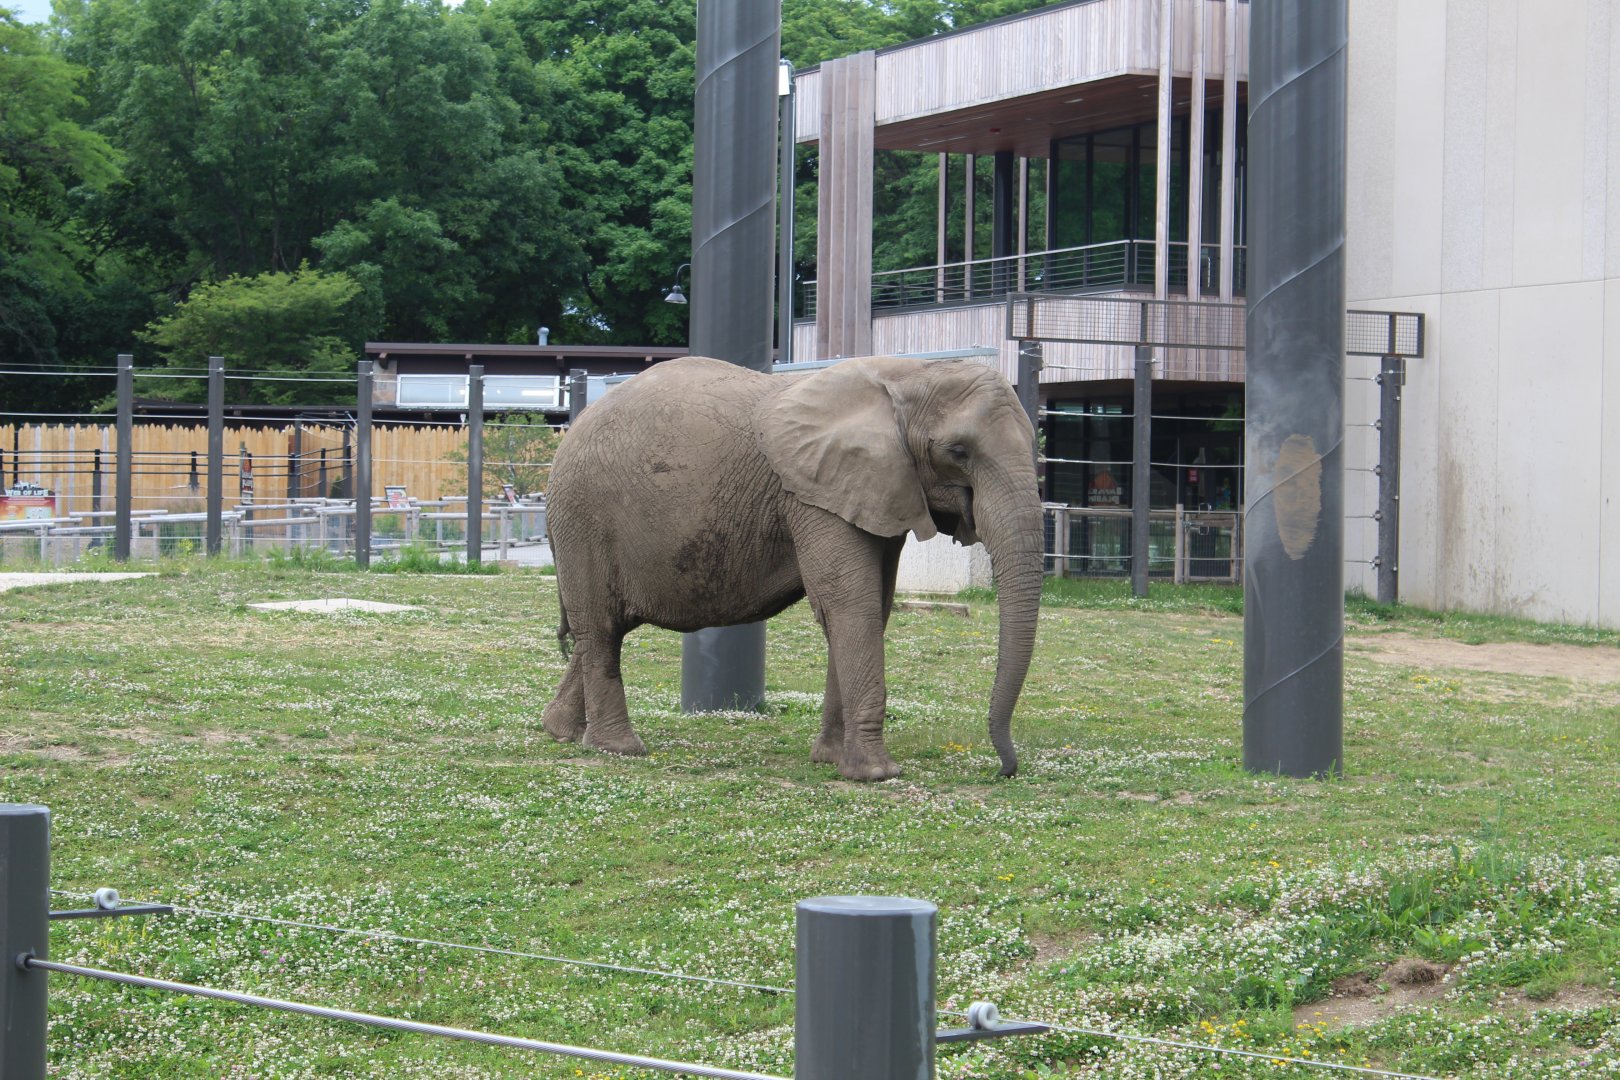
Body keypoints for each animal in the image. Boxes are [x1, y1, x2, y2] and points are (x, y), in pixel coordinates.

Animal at [540, 354, 1043, 780]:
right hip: (583, 518)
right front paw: (875, 774)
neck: (907, 373)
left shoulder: (877, 488)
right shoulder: (813, 493)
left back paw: (562, 732)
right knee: (601, 629)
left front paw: (831, 760)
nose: (1003, 769)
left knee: (603, 629)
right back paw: (618, 748)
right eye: (958, 452)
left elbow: (871, 608)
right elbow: (849, 604)